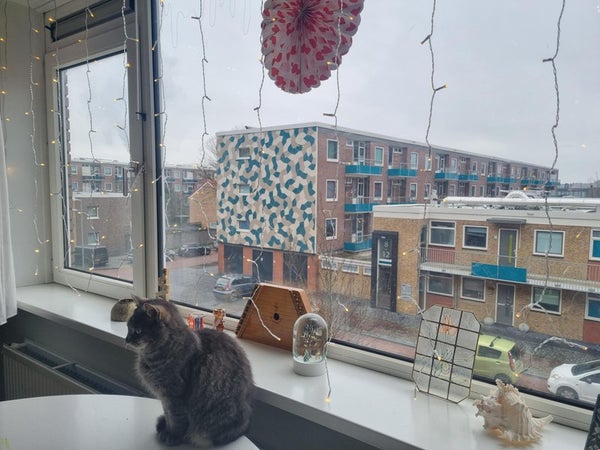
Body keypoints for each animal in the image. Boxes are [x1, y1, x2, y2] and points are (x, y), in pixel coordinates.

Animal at [125, 296, 254, 447]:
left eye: (138, 331)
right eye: (128, 327)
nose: (126, 340)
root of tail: (243, 429)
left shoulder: (175, 397)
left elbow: (176, 421)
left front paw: (173, 436)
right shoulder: (165, 398)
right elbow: (168, 415)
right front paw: (166, 426)